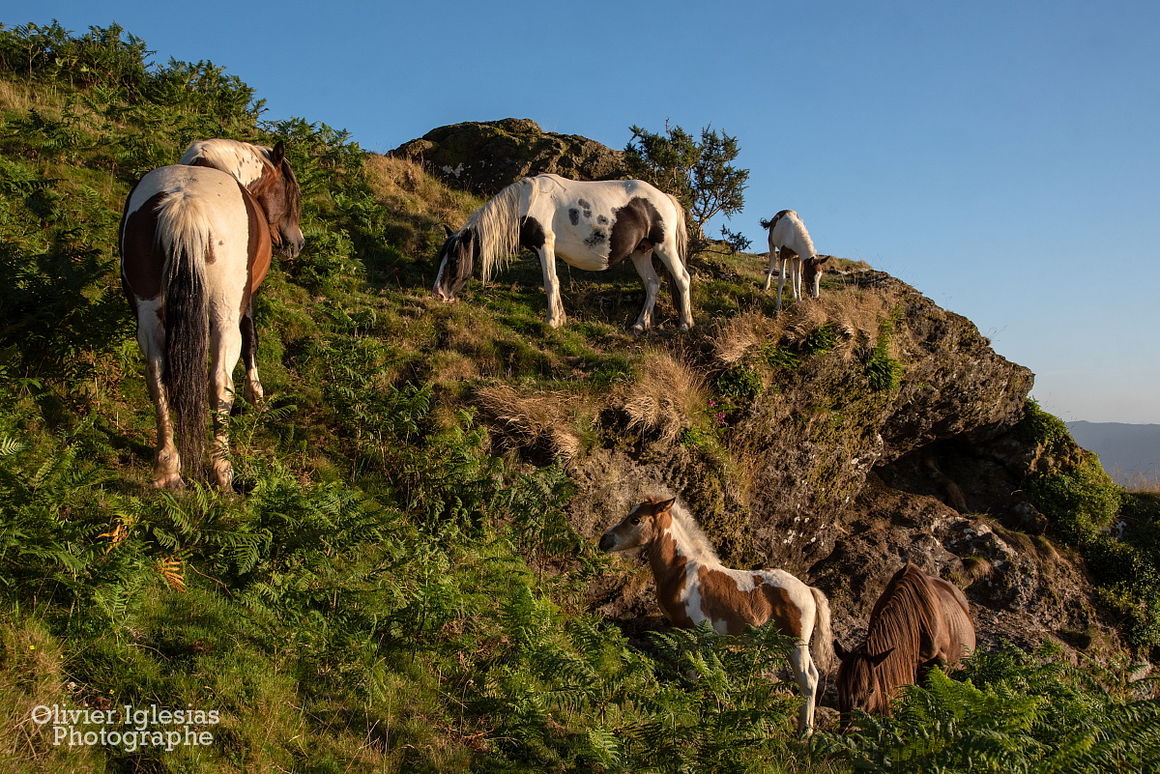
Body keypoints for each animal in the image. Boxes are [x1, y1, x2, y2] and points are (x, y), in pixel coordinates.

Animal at [121, 140, 303, 489]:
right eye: (291, 192)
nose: (297, 242)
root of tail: (184, 202)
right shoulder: (246, 299)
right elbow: (251, 341)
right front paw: (257, 397)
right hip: (224, 313)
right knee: (219, 383)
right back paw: (223, 470)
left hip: (149, 314)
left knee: (157, 378)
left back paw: (168, 468)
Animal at [433, 174, 686, 331]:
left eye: (455, 259)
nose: (438, 294)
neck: (528, 202)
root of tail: (665, 198)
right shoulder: (543, 249)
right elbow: (554, 281)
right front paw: (561, 318)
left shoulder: (545, 244)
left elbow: (550, 281)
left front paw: (552, 320)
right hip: (640, 252)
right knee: (652, 284)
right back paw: (640, 325)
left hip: (664, 247)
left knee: (682, 278)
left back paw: (685, 324)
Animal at [598, 496, 835, 733]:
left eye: (636, 520)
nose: (604, 540)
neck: (683, 573)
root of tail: (808, 590)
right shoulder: (683, 632)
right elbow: (691, 671)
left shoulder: (703, 634)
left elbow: (699, 673)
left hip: (795, 643)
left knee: (808, 679)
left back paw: (804, 733)